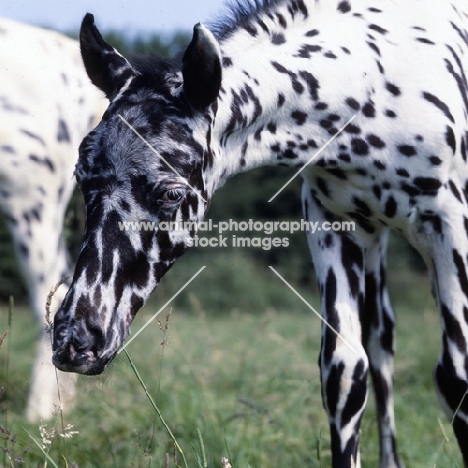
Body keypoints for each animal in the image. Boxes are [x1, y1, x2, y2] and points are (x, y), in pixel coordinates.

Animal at [52, 1, 468, 466]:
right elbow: (344, 374)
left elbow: (456, 378)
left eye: (171, 192)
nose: (76, 341)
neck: (375, 80)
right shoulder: (331, 223)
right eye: (80, 176)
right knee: (382, 344)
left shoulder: (449, 220)